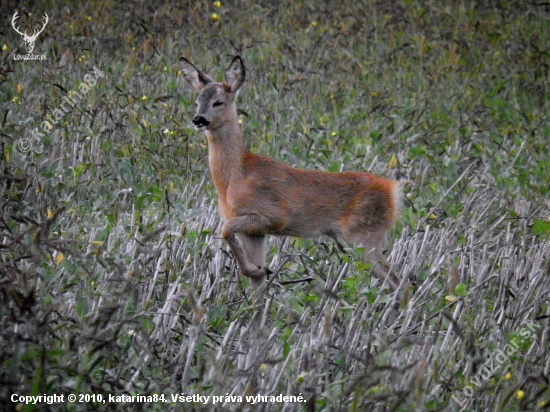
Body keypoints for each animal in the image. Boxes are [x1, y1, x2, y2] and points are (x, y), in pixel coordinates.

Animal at [183, 55, 404, 292]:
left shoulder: (275, 216)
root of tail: (393, 190)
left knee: (399, 281)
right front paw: (258, 271)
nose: (198, 119)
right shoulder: (253, 232)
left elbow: (225, 229)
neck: (236, 176)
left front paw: (258, 269)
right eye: (197, 102)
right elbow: (256, 286)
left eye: (218, 102)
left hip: (363, 236)